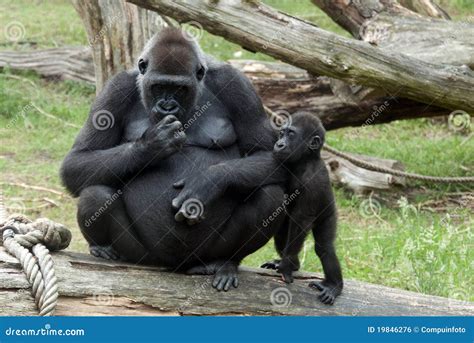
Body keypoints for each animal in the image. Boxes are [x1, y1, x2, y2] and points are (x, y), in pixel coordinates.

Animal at [61, 28, 286, 290]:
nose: (167, 106)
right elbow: (77, 161)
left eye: (180, 89)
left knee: (270, 194)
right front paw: (152, 145)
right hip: (145, 257)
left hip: (205, 253)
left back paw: (225, 262)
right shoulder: (116, 88)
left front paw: (206, 182)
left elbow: (271, 155)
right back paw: (104, 249)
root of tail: (178, 267)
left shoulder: (237, 85)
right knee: (96, 193)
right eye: (158, 87)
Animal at [262, 113, 342, 306]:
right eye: (281, 133)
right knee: (283, 233)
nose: (279, 144)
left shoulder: (313, 182)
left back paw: (334, 285)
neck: (306, 159)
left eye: (291, 134)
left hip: (329, 214)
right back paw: (293, 264)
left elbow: (301, 220)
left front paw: (285, 266)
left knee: (324, 247)